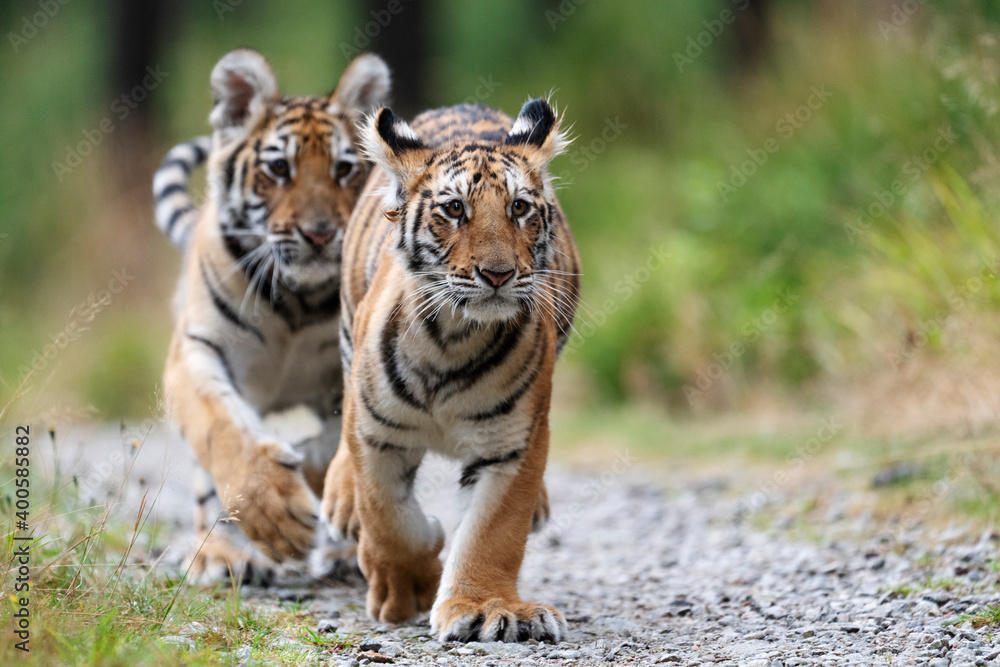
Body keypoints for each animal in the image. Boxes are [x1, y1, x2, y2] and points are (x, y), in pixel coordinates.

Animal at [154, 48, 390, 581]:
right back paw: (223, 556)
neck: (296, 299)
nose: (320, 233)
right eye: (280, 168)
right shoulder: (198, 352)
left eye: (344, 169)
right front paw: (276, 514)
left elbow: (344, 441)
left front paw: (314, 482)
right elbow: (222, 430)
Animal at [315, 99, 580, 642]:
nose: (498, 274)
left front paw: (486, 607)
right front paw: (405, 591)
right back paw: (342, 502)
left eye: (519, 208)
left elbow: (493, 532)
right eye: (455, 209)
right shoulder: (375, 433)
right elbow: (388, 518)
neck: (453, 340)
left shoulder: (511, 445)